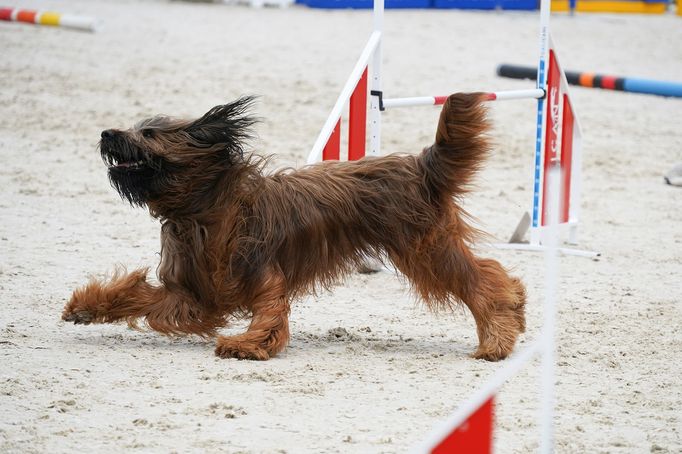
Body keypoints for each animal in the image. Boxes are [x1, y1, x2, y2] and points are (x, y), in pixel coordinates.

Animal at [61, 93, 524, 362]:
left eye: (150, 133)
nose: (106, 134)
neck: (201, 209)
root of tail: (420, 165)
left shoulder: (259, 270)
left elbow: (270, 310)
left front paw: (245, 344)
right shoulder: (194, 295)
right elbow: (137, 296)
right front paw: (87, 306)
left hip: (424, 249)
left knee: (485, 280)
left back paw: (497, 339)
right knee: (491, 273)